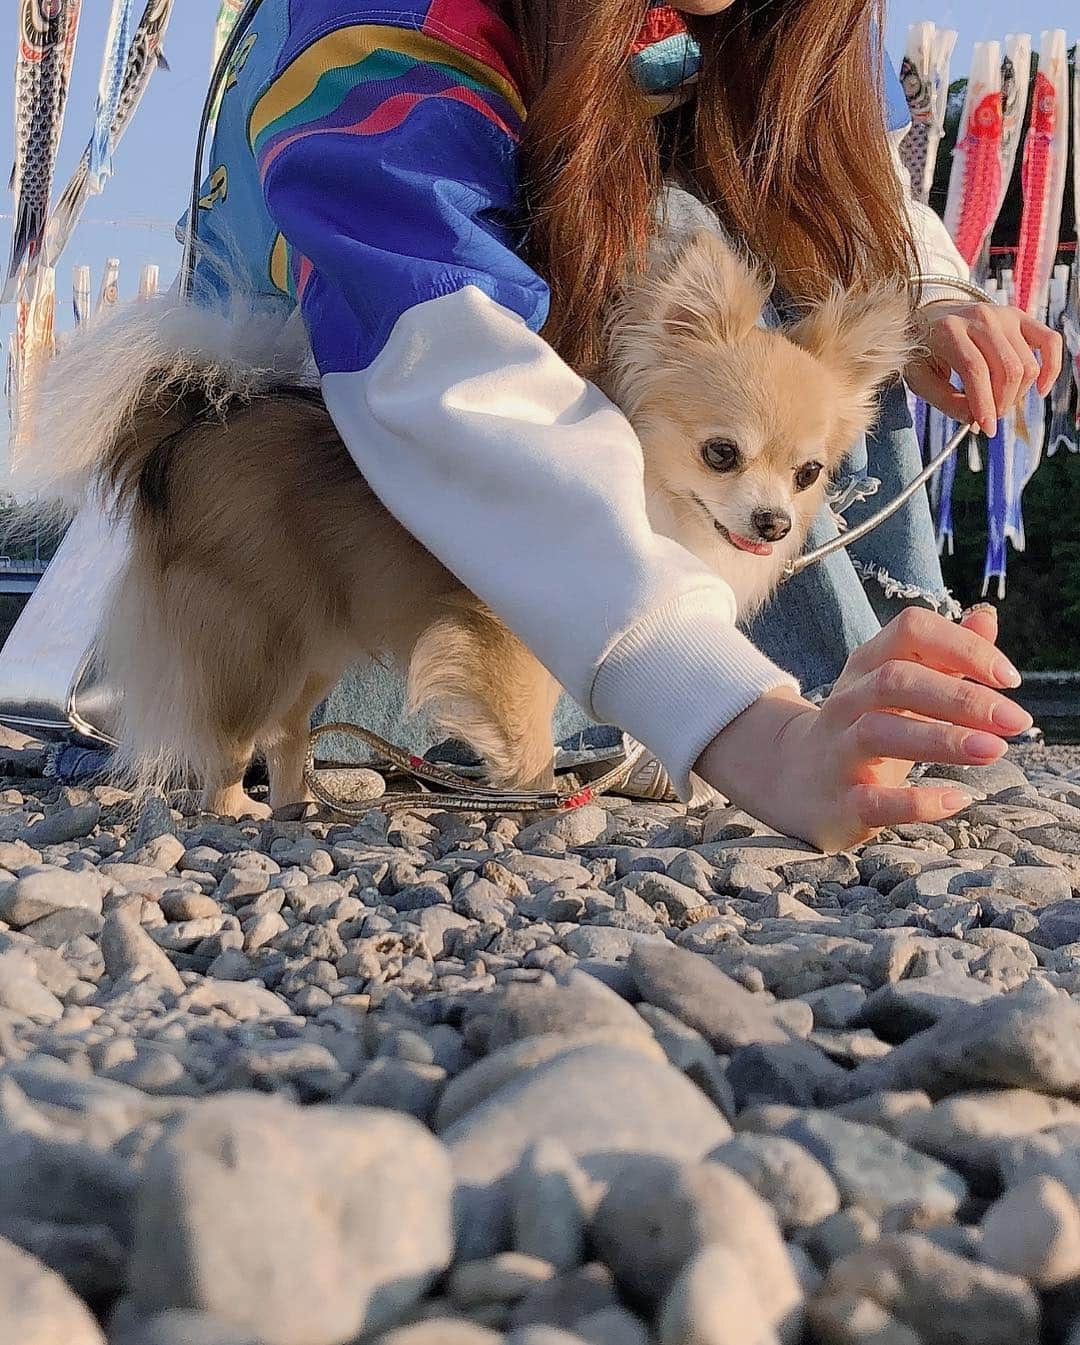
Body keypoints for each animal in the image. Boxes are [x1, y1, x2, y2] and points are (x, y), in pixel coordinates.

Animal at [25, 227, 914, 812]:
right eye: (721, 454)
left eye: (808, 474)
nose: (772, 522)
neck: (654, 497)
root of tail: (191, 421)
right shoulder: (502, 627)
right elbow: (528, 724)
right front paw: (533, 794)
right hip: (256, 638)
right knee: (233, 737)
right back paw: (233, 810)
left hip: (313, 642)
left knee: (284, 734)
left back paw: (297, 808)